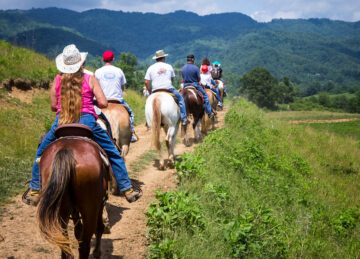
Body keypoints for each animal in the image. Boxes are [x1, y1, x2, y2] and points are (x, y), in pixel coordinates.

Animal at [36, 125, 110, 258]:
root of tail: (67, 149)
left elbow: (77, 230)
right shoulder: (100, 203)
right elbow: (99, 227)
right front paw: (97, 252)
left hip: (62, 208)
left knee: (64, 242)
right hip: (89, 209)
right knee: (85, 244)